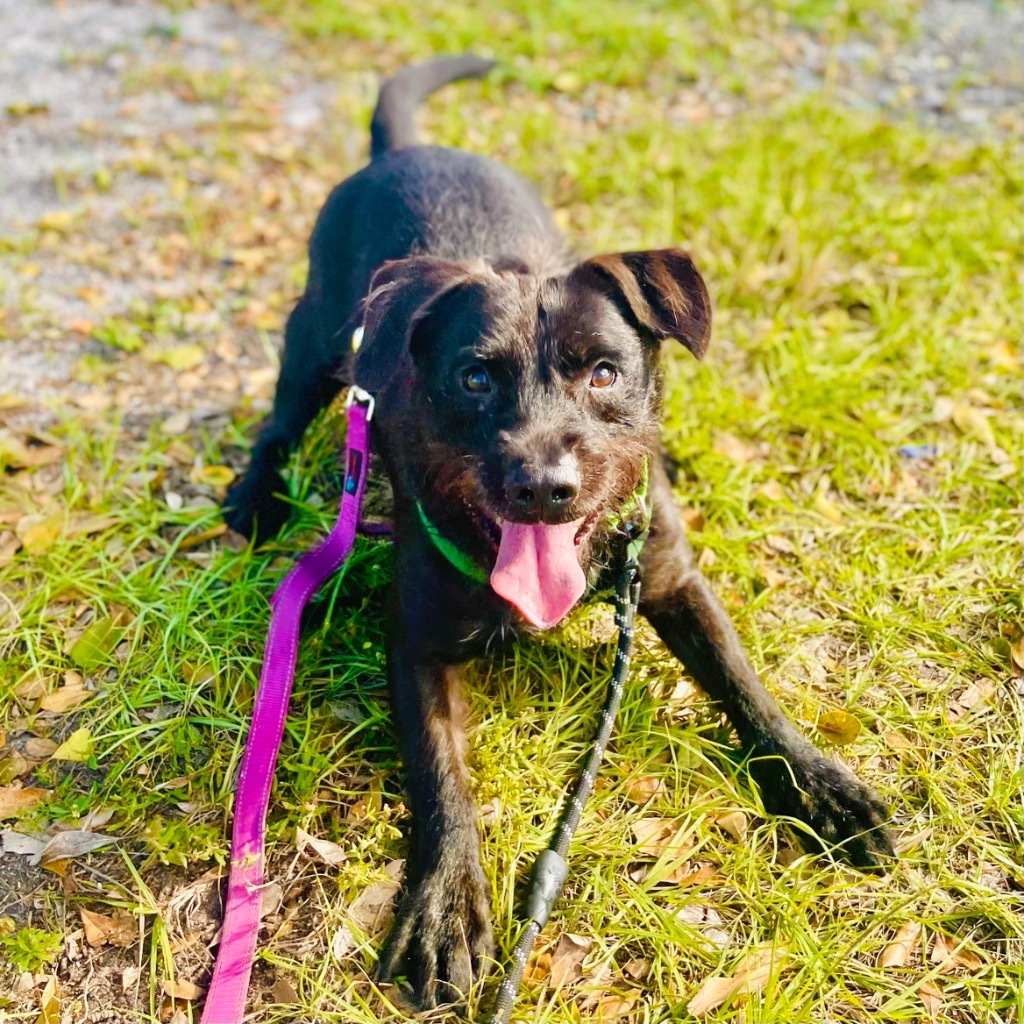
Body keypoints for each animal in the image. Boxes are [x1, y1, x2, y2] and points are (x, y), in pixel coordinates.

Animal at [222, 58, 888, 1015]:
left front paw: (820, 785)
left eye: (604, 372)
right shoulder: (414, 642)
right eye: (473, 378)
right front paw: (445, 907)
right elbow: (441, 779)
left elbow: (746, 686)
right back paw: (256, 494)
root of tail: (402, 149)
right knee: (280, 418)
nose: (544, 484)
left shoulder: (674, 581)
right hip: (313, 341)